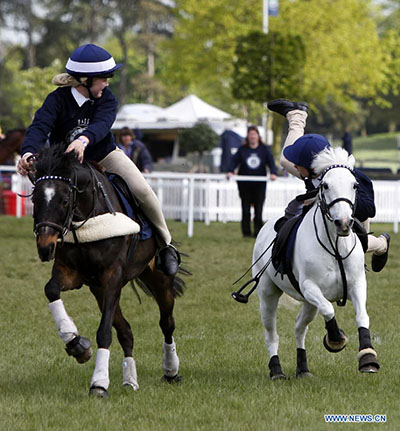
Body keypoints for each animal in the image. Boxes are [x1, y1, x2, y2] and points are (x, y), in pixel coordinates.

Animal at [252, 148, 380, 378]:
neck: (336, 247)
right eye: (325, 185)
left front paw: (368, 357)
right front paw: (336, 338)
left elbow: (362, 316)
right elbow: (329, 309)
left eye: (354, 185)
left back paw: (303, 368)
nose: (344, 223)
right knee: (271, 334)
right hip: (268, 294)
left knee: (299, 328)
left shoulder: (357, 284)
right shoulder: (310, 287)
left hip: (309, 304)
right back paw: (276, 370)